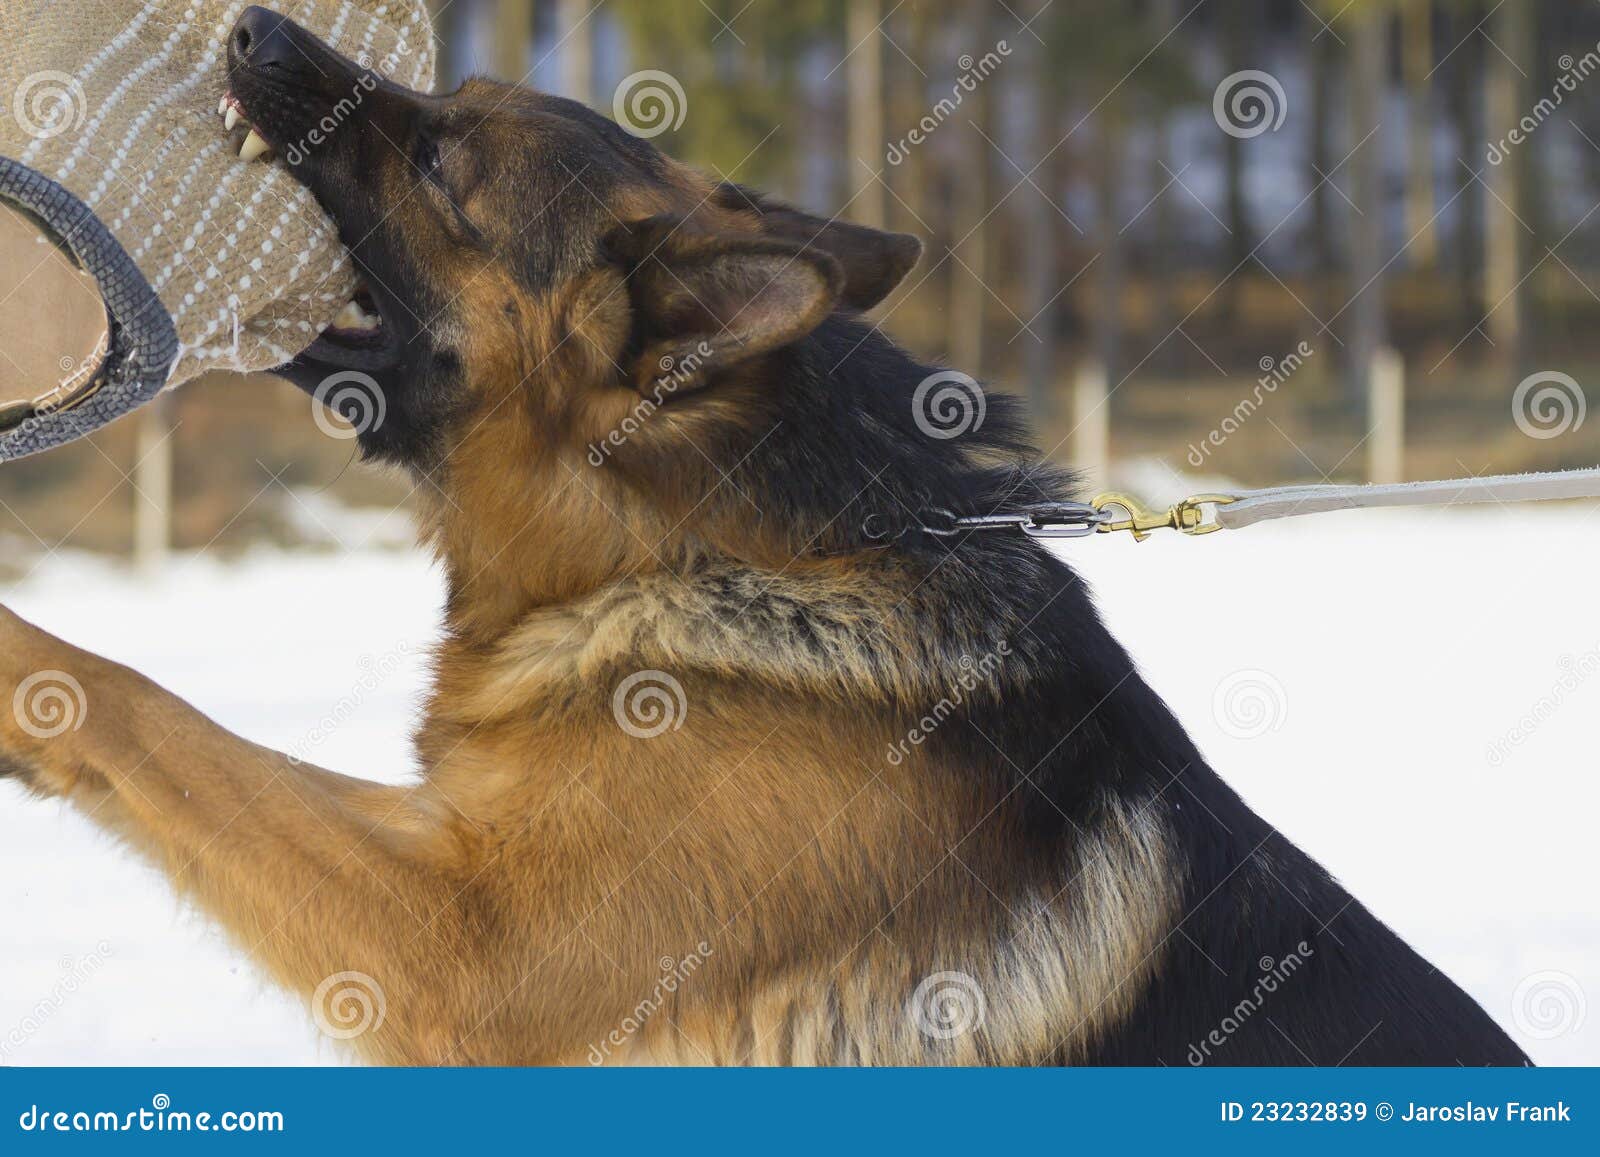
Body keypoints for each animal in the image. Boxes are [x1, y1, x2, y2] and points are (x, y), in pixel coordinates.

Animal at [0, 6, 1529, 1068]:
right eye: (452, 102)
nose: (250, 26)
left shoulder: (462, 949)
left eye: (440, 157)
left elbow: (150, 710)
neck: (710, 552)